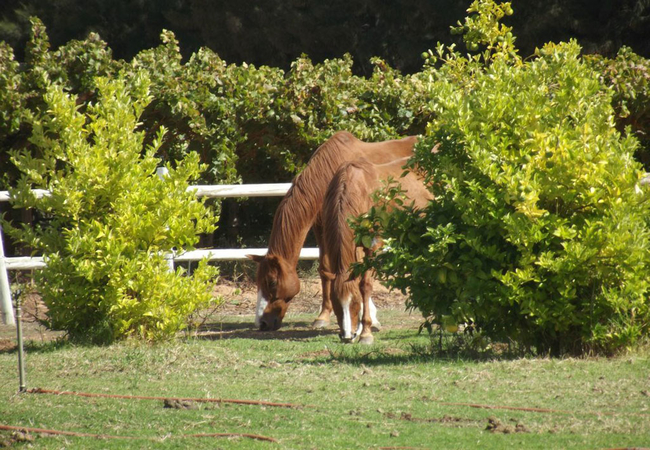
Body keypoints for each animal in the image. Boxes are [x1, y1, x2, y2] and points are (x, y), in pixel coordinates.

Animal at [248, 130, 416, 330]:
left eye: (272, 282)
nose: (262, 323)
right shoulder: (322, 227)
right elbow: (325, 269)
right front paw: (323, 316)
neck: (328, 175)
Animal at [318, 156, 430, 342]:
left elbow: (365, 285)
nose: (347, 336)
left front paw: (365, 333)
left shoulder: (372, 247)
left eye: (355, 301)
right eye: (335, 302)